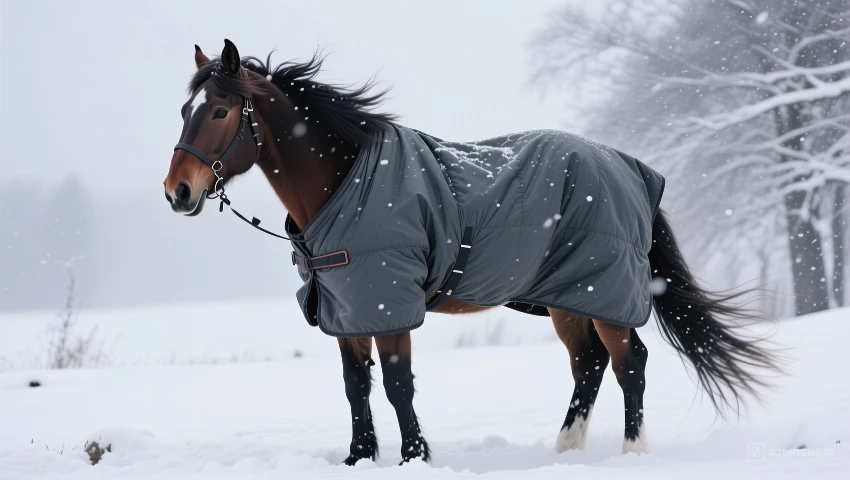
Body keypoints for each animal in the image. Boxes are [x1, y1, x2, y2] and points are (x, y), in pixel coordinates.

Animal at [163, 39, 779, 465]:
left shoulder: (388, 305)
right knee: (589, 365)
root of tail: (628, 166)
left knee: (631, 365)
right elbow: (356, 387)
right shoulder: (347, 309)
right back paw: (565, 450)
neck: (346, 182)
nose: (178, 192)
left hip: (605, 293)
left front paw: (414, 457)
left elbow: (397, 386)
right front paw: (359, 458)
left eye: (220, 112)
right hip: (567, 299)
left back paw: (632, 454)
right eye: (184, 110)